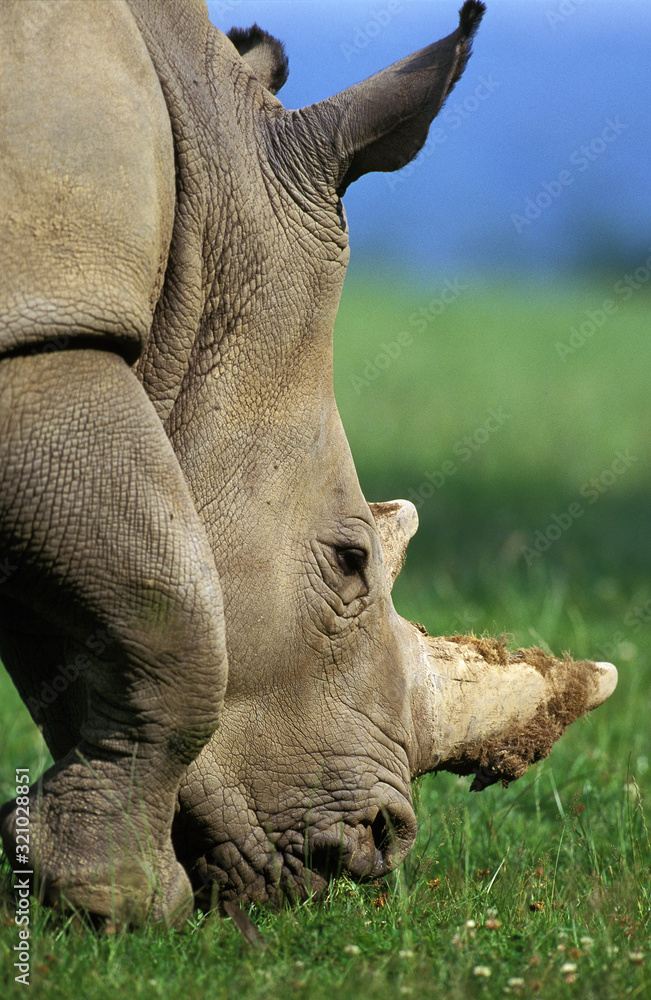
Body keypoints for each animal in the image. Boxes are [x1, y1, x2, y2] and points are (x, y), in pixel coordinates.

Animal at [0, 0, 616, 924]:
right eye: (350, 560)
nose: (373, 847)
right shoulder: (48, 333)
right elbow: (170, 611)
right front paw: (124, 906)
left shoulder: (50, 321)